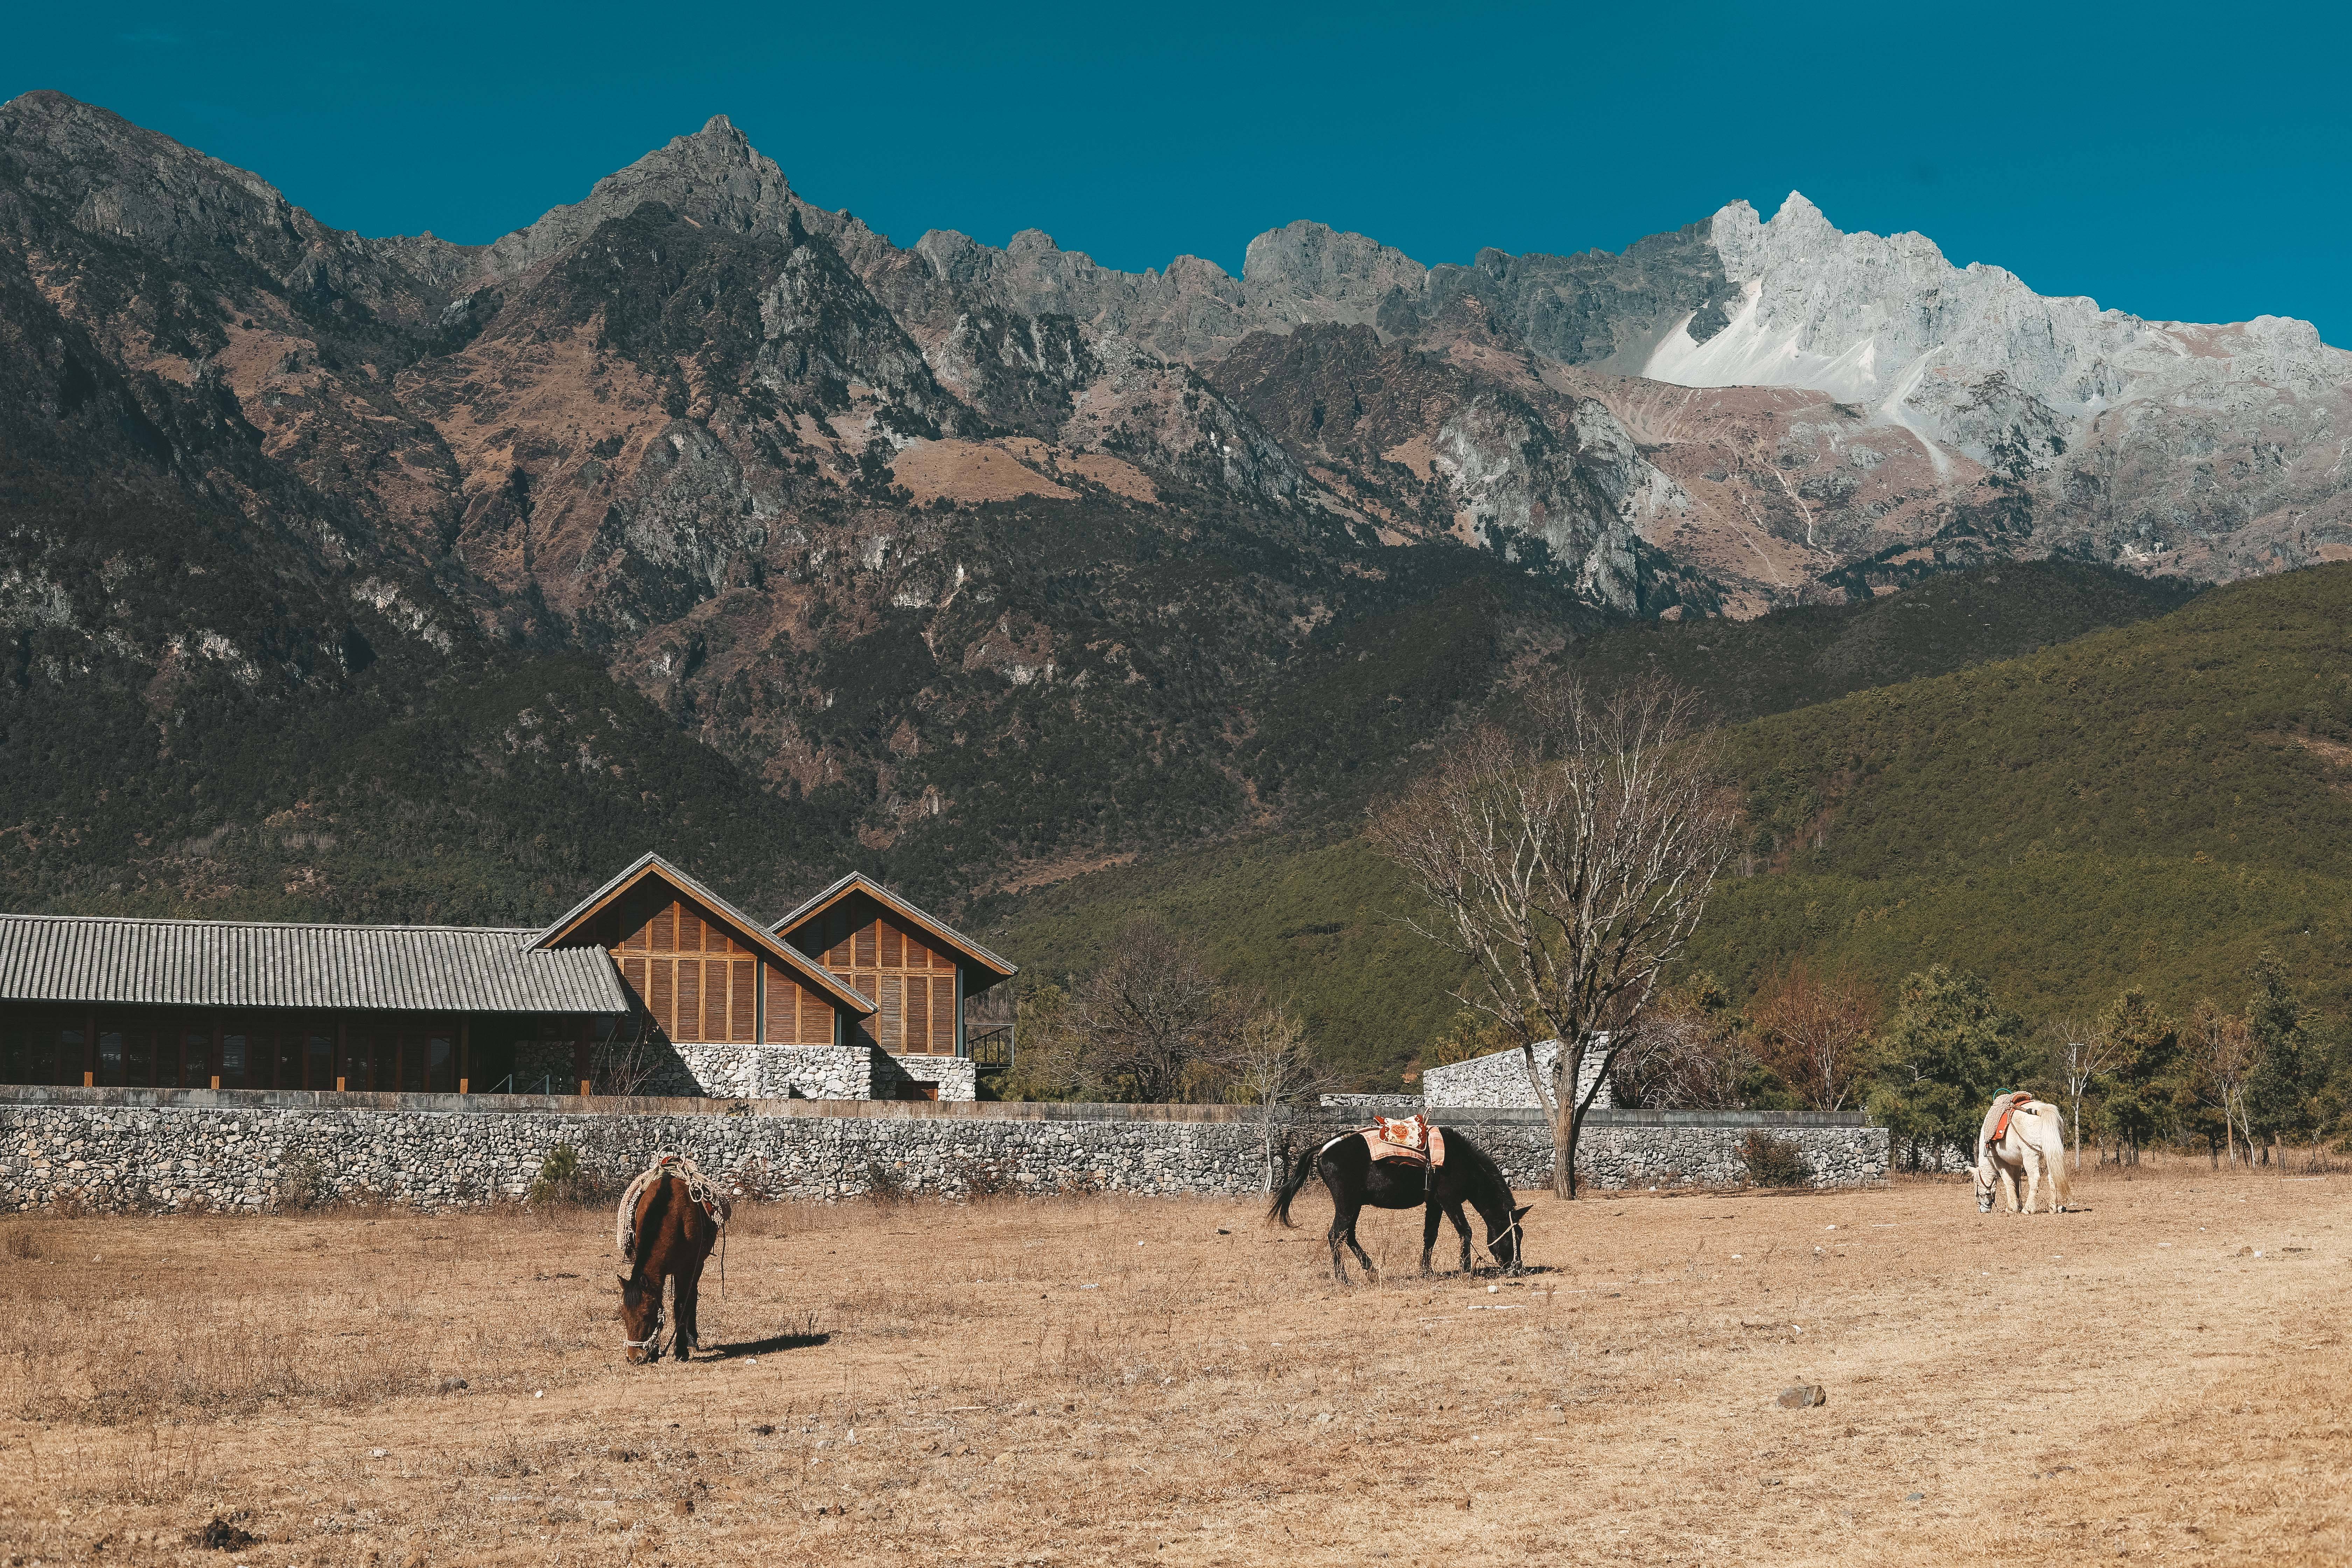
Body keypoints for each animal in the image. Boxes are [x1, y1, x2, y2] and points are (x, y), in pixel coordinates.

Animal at [616, 1166, 724, 1363]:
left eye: (647, 1315)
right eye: (623, 1315)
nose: (634, 1358)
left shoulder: (687, 1269)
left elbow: (680, 1305)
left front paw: (681, 1351)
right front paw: (655, 1350)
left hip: (698, 1265)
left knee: (692, 1296)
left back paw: (692, 1340)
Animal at [1279, 1128, 1533, 1288]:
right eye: (1514, 1237)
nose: (1517, 1268)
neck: (1461, 1161)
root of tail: (1324, 1148)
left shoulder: (1435, 1203)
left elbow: (1430, 1235)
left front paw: (1427, 1271)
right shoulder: (1449, 1200)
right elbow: (1466, 1231)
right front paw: (1466, 1269)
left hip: (1353, 1205)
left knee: (1348, 1235)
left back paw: (1371, 1271)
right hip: (1347, 1203)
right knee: (1336, 1235)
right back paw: (1344, 1279)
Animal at [1975, 1105, 2070, 1213]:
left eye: (1980, 1194)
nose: (1983, 1210)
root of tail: (2044, 1110)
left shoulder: (2000, 1162)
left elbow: (2008, 1181)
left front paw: (2011, 1208)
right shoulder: (2016, 1164)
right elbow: (2016, 1183)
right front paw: (2018, 1205)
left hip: (2030, 1155)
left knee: (2035, 1178)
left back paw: (2028, 1209)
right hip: (2050, 1154)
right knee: (2053, 1176)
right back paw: (2053, 1207)